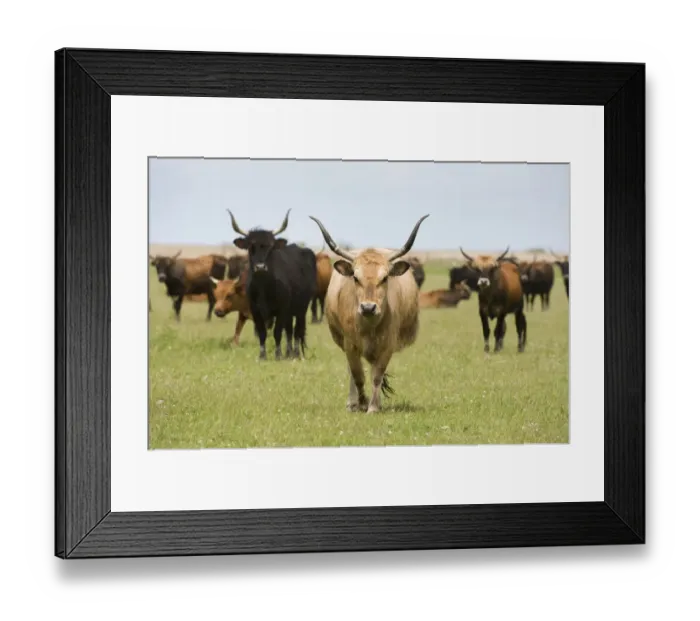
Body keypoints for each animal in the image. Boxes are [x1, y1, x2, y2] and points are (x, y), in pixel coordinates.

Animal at [227, 208, 317, 361]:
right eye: (251, 247)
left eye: (270, 247)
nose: (260, 267)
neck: (263, 286)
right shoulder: (255, 310)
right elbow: (262, 333)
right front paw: (262, 356)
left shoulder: (281, 310)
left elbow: (277, 332)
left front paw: (278, 355)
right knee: (289, 331)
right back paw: (289, 353)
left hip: (302, 308)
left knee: (297, 330)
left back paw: (296, 354)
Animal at [309, 213, 429, 414]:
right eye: (355, 277)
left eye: (385, 277)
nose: (368, 307)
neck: (369, 326)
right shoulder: (350, 345)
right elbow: (358, 376)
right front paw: (362, 402)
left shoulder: (387, 345)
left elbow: (377, 376)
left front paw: (373, 406)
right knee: (352, 372)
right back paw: (352, 403)